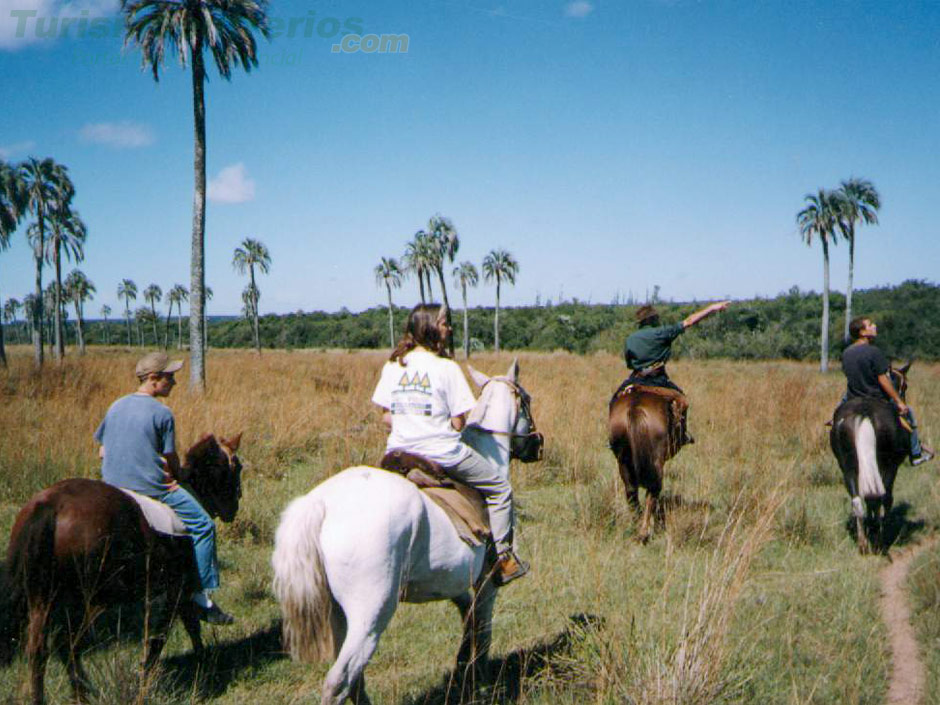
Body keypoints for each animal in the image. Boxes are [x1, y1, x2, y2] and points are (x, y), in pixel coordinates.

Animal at [0, 432, 242, 700]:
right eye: (236, 467)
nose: (234, 506)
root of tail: (50, 506)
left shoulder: (177, 592)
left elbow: (188, 626)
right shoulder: (176, 590)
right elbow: (166, 633)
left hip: (43, 597)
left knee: (39, 649)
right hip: (88, 599)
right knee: (68, 643)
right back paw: (83, 692)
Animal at [272, 360, 536, 700]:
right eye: (527, 401)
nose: (536, 446)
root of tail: (321, 504)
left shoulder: (457, 585)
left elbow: (467, 623)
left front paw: (461, 675)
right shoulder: (487, 585)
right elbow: (481, 636)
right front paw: (477, 682)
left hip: (337, 614)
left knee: (355, 680)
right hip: (371, 615)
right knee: (339, 680)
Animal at [604, 384, 688, 540]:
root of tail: (635, 408)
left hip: (623, 461)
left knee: (631, 491)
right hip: (656, 463)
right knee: (653, 491)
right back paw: (644, 532)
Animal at [828, 366, 912, 552]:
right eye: (904, 385)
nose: (903, 407)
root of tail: (864, 412)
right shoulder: (893, 466)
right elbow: (885, 499)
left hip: (848, 467)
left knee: (858, 500)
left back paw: (863, 543)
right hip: (886, 466)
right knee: (882, 497)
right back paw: (880, 539)